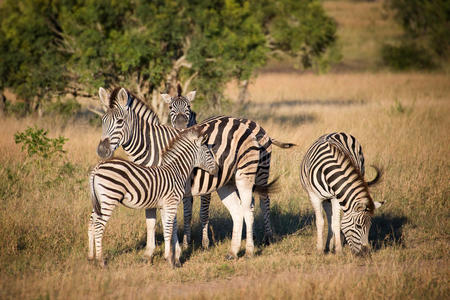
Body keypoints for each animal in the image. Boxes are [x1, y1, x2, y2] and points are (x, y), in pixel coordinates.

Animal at [87, 126, 218, 268]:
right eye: (208, 153)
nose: (217, 170)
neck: (177, 170)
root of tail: (98, 167)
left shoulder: (164, 206)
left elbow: (170, 229)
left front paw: (172, 257)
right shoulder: (171, 203)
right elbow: (169, 229)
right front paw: (169, 259)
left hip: (99, 201)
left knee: (91, 223)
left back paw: (91, 257)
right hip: (109, 198)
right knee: (99, 226)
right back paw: (101, 261)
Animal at [96, 86, 294, 258]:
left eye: (120, 122)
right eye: (102, 121)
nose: (102, 151)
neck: (152, 148)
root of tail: (247, 123)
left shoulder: (169, 189)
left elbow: (172, 221)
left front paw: (175, 252)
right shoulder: (152, 190)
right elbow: (151, 222)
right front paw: (150, 253)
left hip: (251, 174)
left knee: (256, 205)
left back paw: (256, 246)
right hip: (228, 182)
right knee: (240, 210)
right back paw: (234, 250)